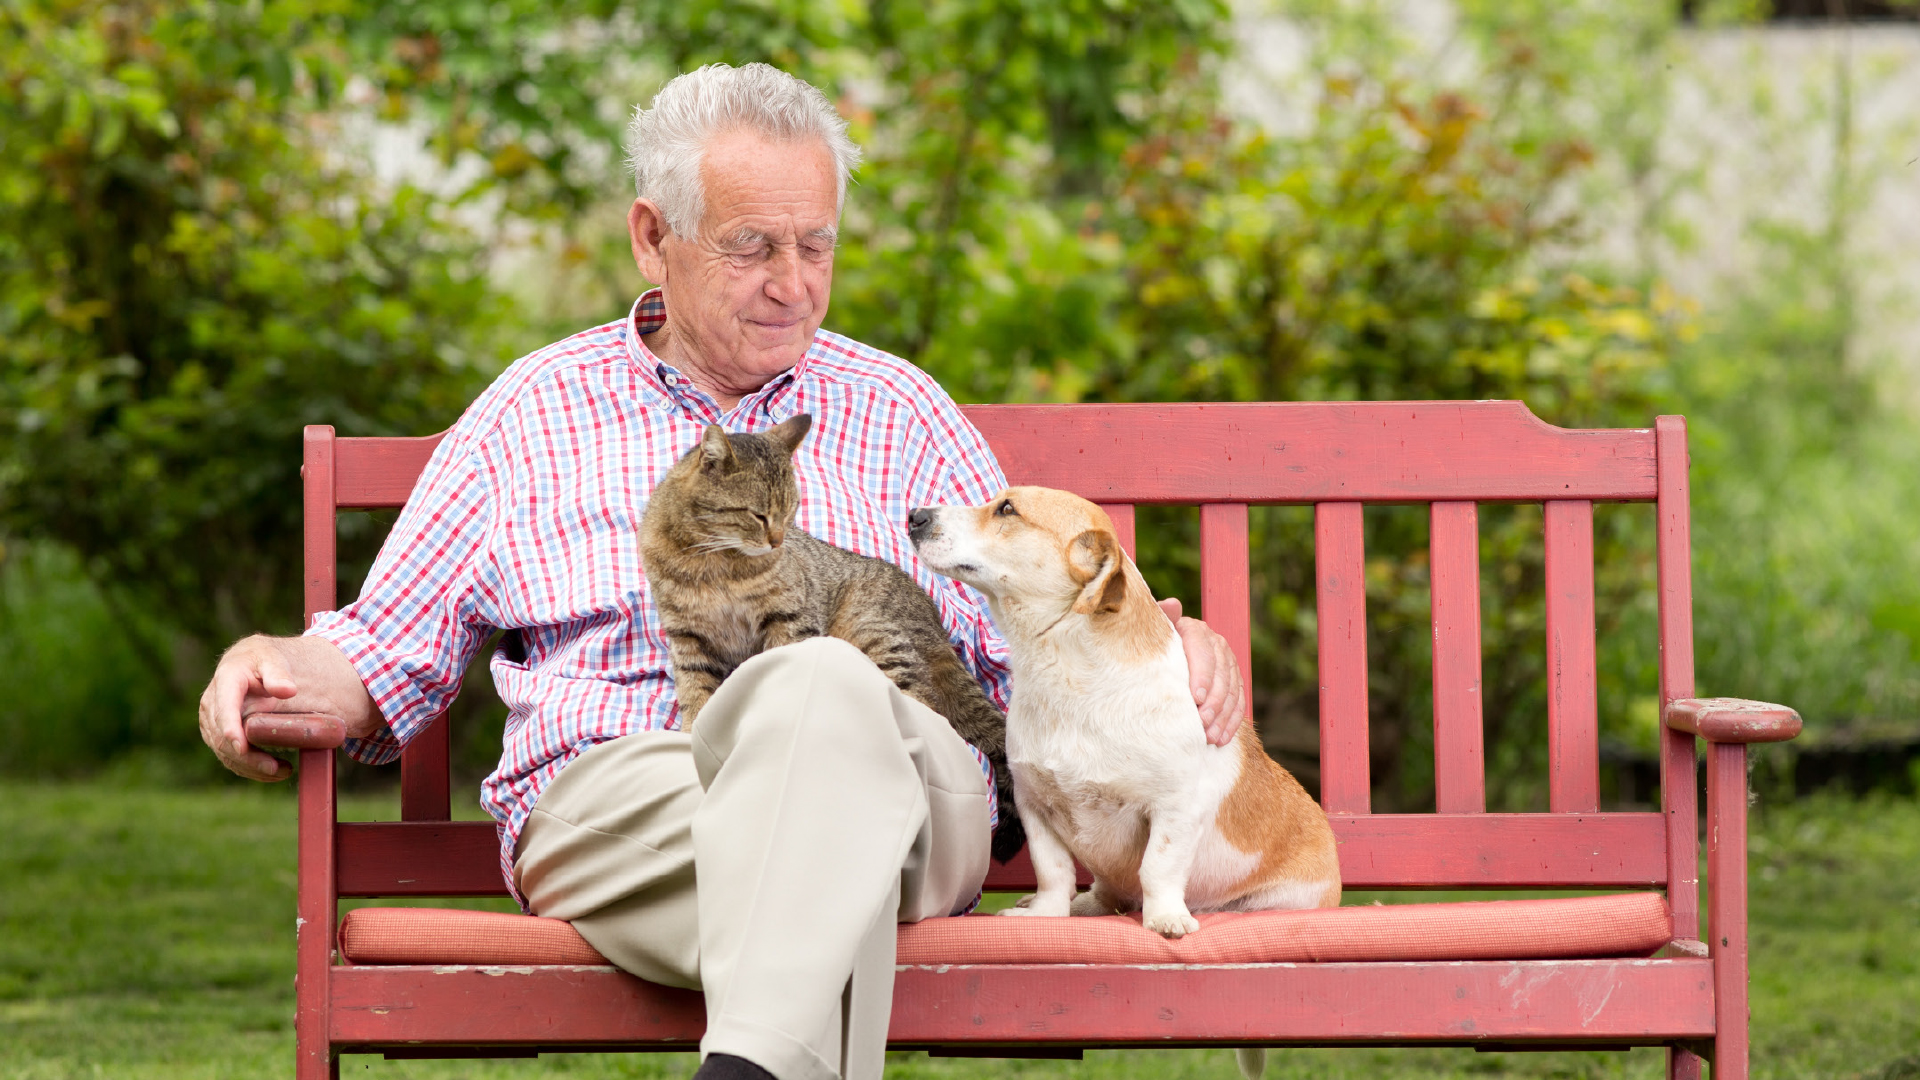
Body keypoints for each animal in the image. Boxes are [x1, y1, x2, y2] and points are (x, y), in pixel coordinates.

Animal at [641, 411, 1029, 857]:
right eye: (758, 515)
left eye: (790, 512)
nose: (777, 541)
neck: (713, 561)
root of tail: (930, 615)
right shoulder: (687, 637)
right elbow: (694, 693)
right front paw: (691, 734)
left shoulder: (789, 618)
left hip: (870, 632)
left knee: (924, 707)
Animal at [910, 484, 1336, 937]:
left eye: (1008, 509)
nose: (914, 516)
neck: (1069, 677)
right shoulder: (1034, 805)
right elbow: (1052, 871)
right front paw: (1046, 913)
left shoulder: (1175, 807)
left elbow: (1158, 868)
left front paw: (1165, 918)